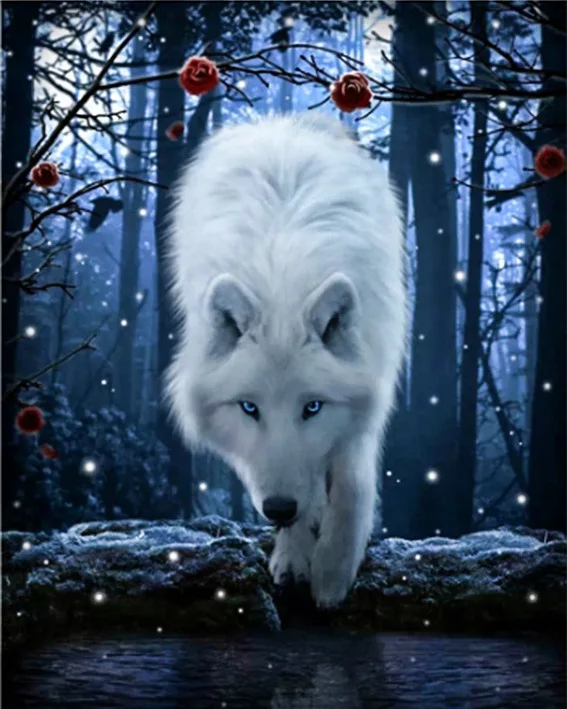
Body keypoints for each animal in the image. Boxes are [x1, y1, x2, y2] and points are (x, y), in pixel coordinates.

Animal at [165, 113, 407, 607]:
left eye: (312, 407)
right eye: (249, 408)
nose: (278, 508)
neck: (282, 284)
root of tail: (278, 122)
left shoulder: (367, 391)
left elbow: (351, 483)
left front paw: (333, 571)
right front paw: (296, 556)